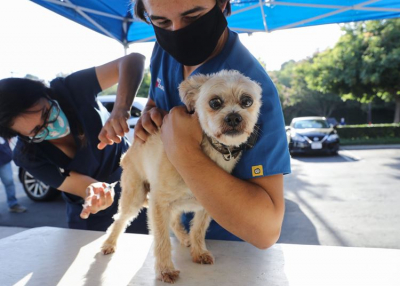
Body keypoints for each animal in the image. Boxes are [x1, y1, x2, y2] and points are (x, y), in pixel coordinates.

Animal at [100, 70, 262, 284]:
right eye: (215, 102)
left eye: (247, 101)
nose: (234, 118)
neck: (211, 151)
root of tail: (129, 151)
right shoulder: (159, 203)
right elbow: (162, 239)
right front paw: (165, 269)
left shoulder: (208, 204)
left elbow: (198, 230)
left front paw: (199, 251)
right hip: (135, 196)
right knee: (119, 219)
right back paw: (109, 243)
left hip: (173, 203)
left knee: (175, 221)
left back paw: (185, 239)